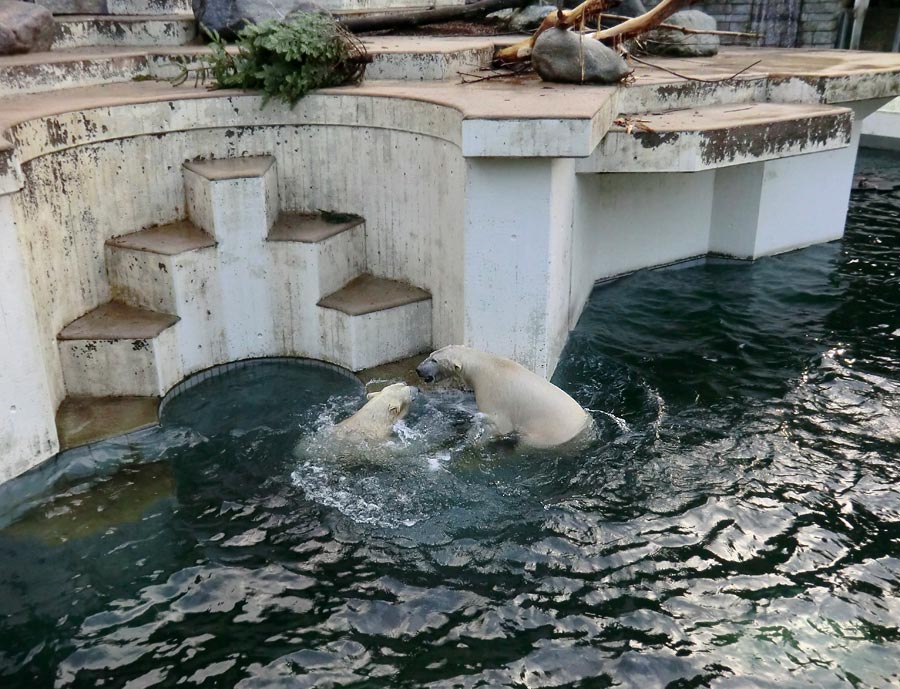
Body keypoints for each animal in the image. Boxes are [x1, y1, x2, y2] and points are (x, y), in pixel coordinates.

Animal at [416, 344, 596, 452]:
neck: (487, 364)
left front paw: (475, 441)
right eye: (431, 355)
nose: (418, 369)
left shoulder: (493, 394)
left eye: (434, 360)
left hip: (548, 433)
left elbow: (498, 425)